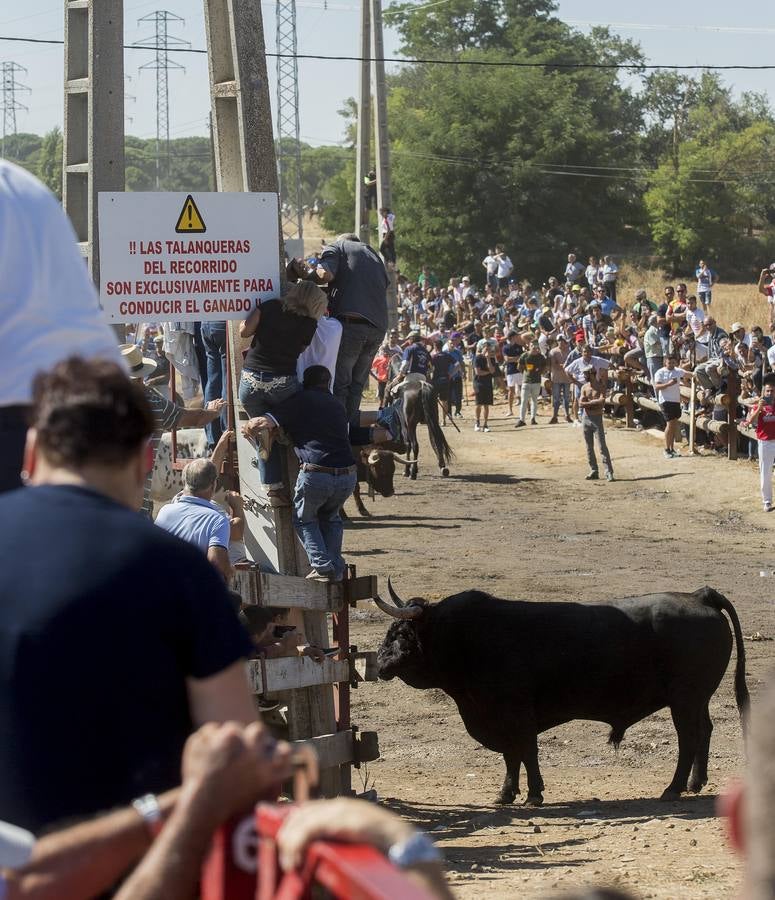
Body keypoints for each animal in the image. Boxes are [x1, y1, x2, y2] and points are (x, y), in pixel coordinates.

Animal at [376, 588, 752, 804]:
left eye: (402, 633)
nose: (378, 662)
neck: (465, 637)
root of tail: (699, 595)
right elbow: (512, 756)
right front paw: (507, 793)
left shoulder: (515, 712)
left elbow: (525, 751)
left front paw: (533, 794)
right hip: (696, 699)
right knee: (705, 731)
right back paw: (695, 783)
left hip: (685, 699)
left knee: (689, 738)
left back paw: (673, 789)